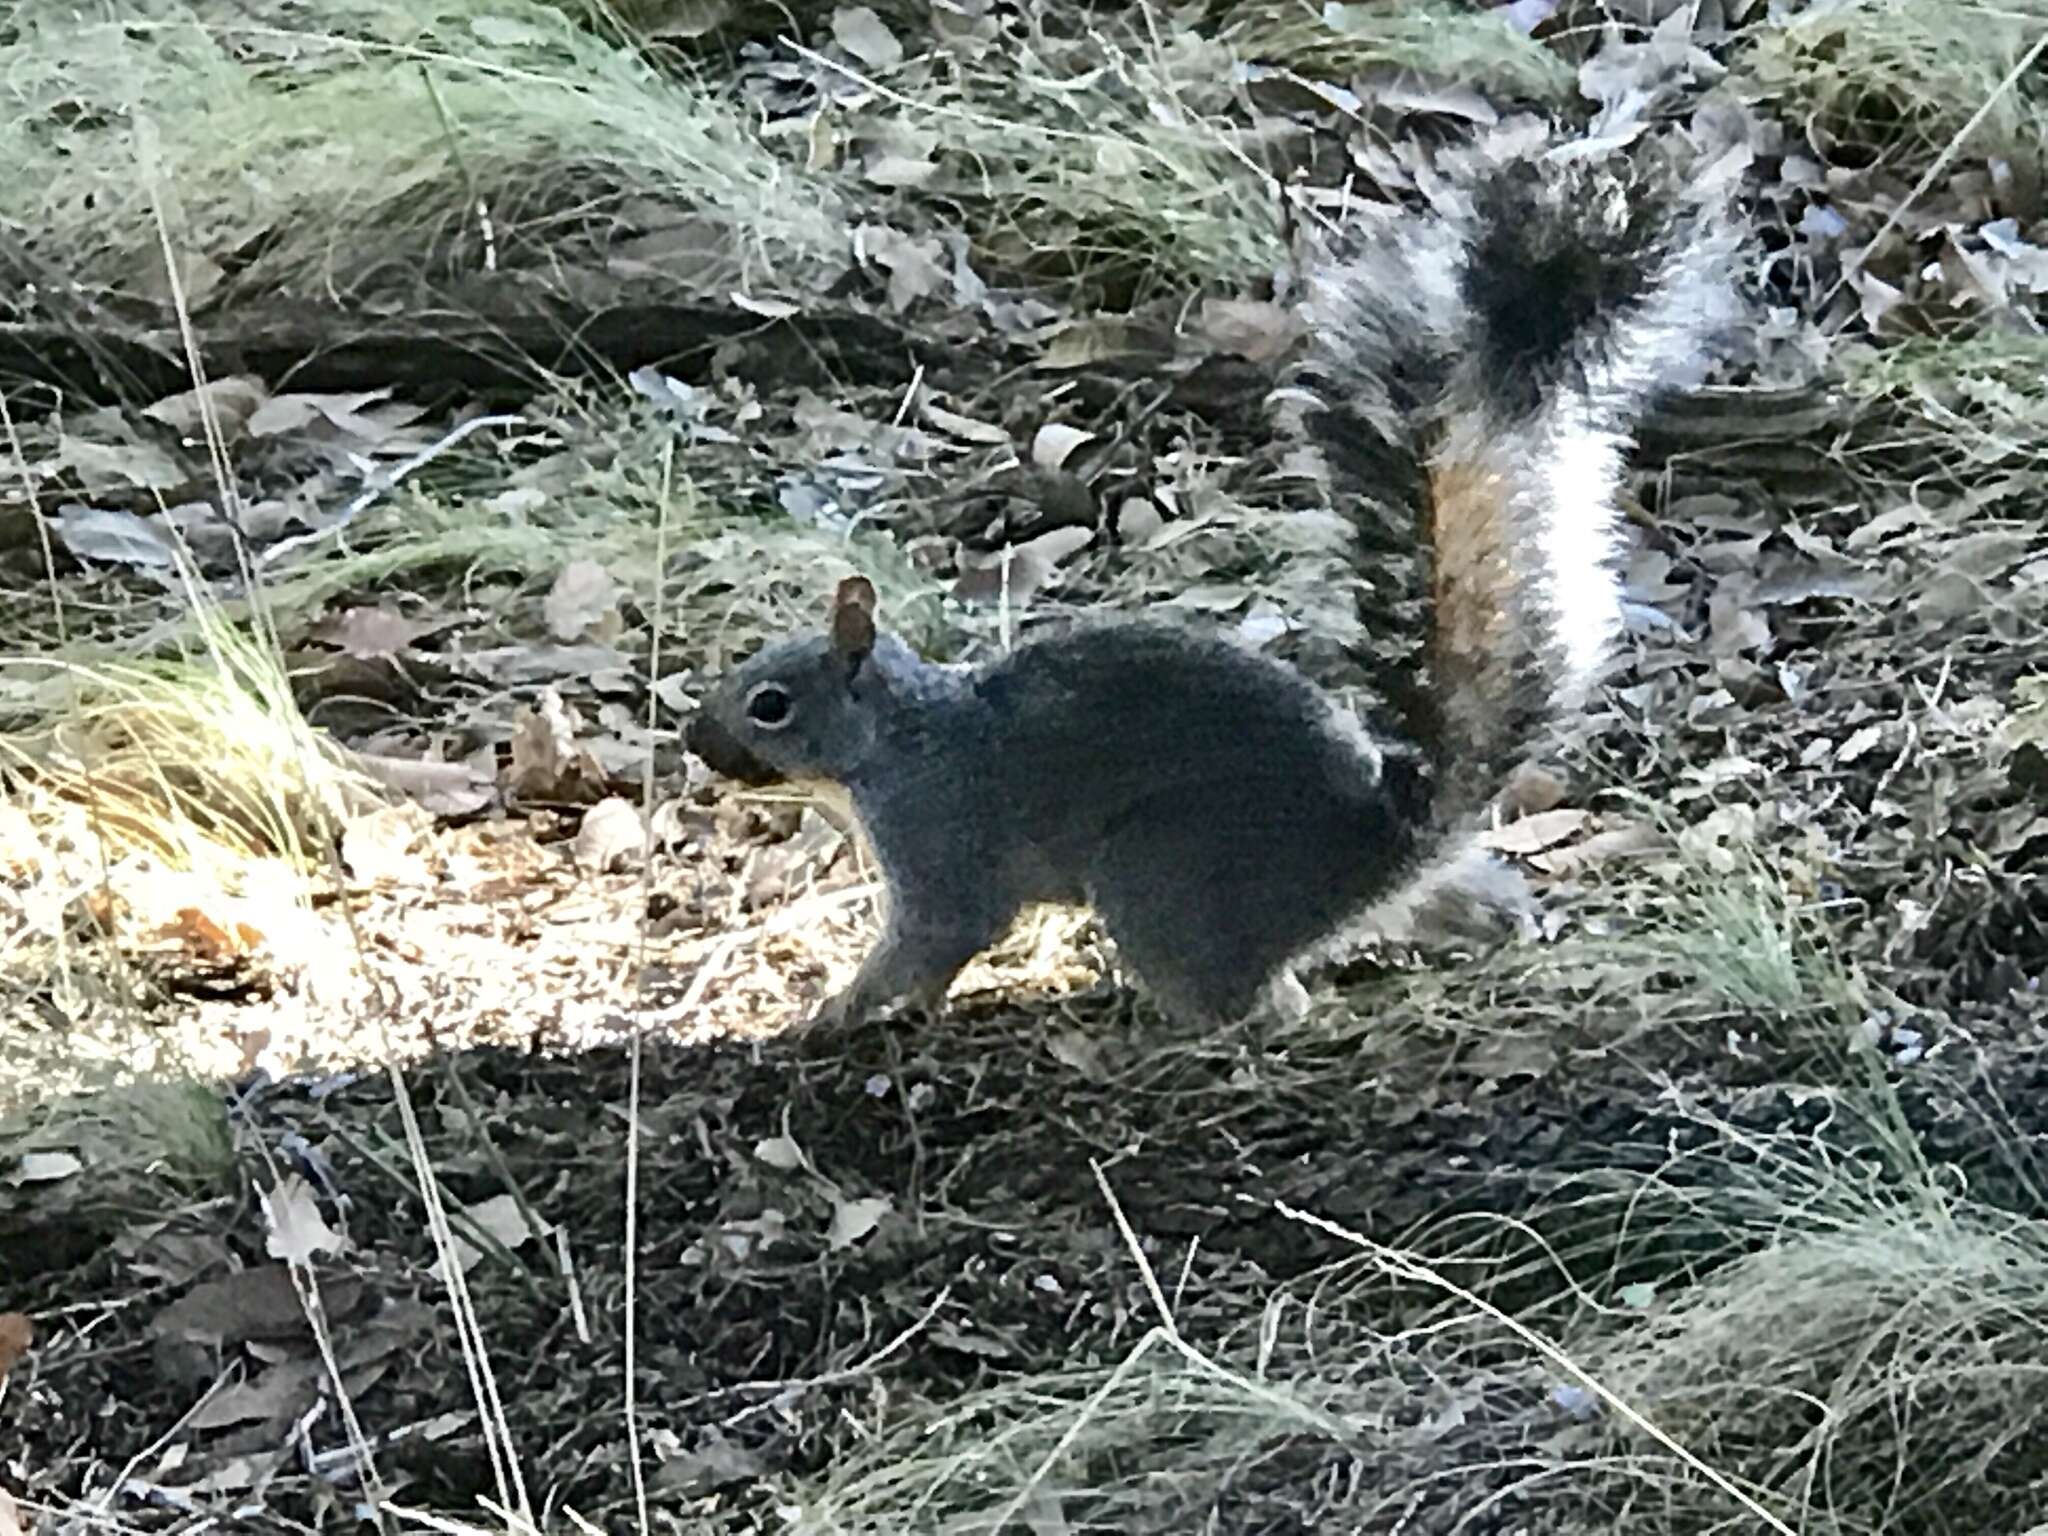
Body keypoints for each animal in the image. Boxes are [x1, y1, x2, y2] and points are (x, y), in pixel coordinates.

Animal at [679, 147, 1736, 1036]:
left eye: (770, 704)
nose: (695, 743)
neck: (900, 740)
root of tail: (1369, 849)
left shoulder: (944, 842)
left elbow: (937, 941)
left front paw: (833, 1014)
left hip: (1161, 880)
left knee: (1265, 1005)